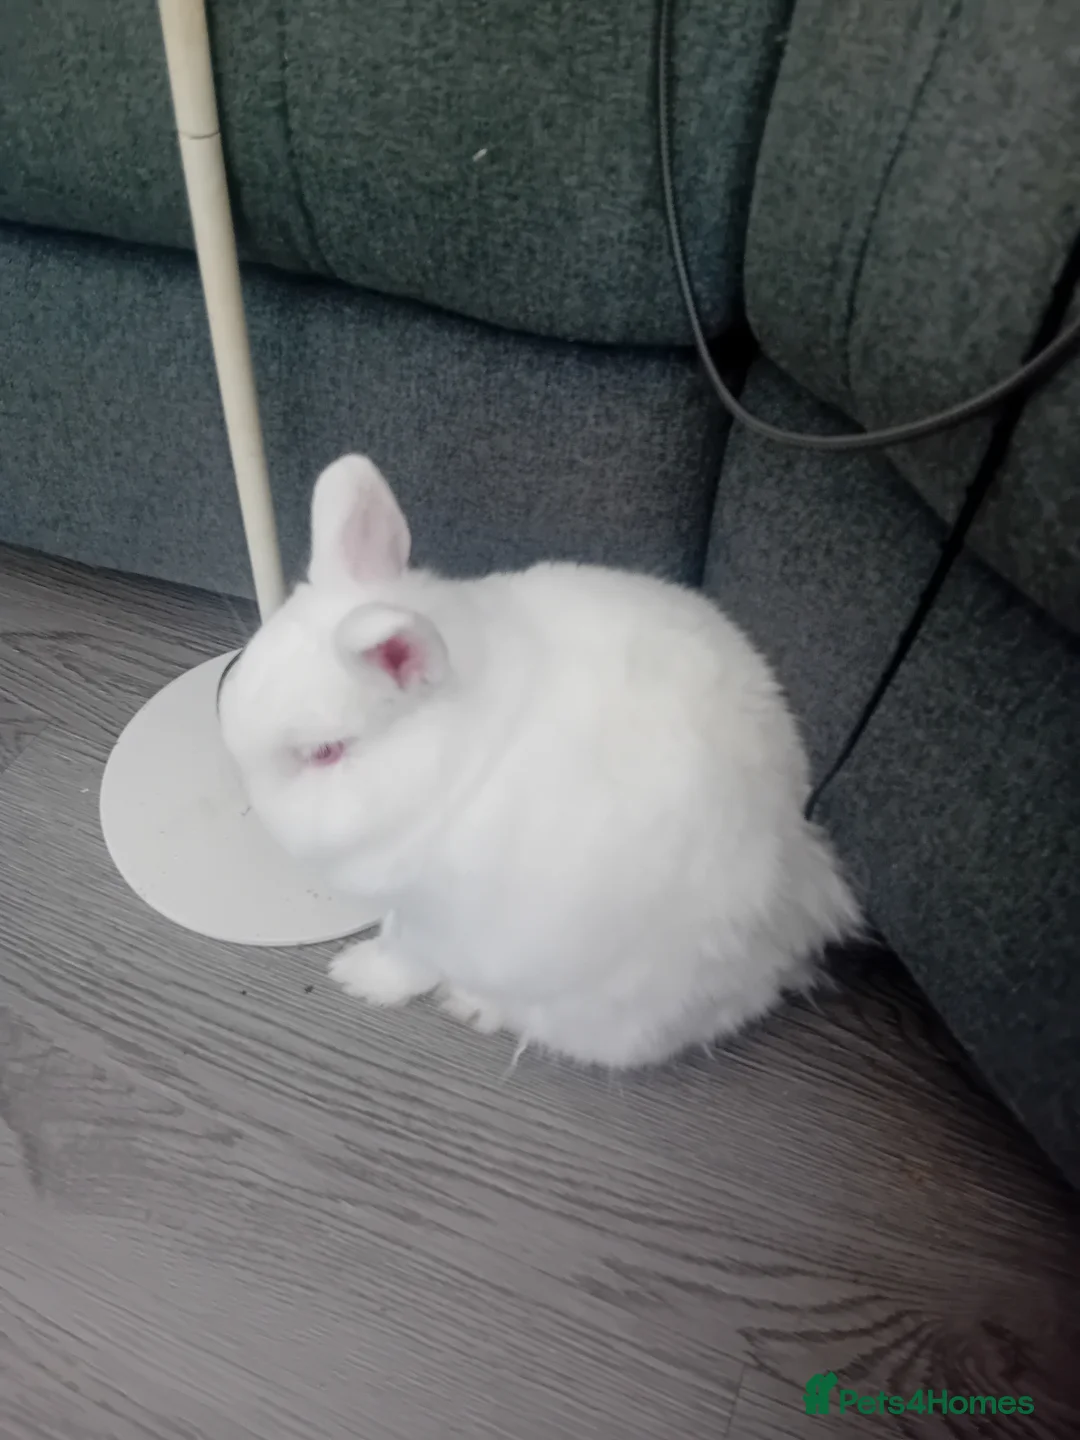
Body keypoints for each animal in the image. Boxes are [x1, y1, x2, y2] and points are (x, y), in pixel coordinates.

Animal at [218, 454, 859, 1069]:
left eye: (325, 752)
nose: (246, 795)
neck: (456, 766)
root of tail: (782, 953)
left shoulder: (440, 921)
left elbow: (406, 955)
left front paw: (358, 976)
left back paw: (472, 1005)